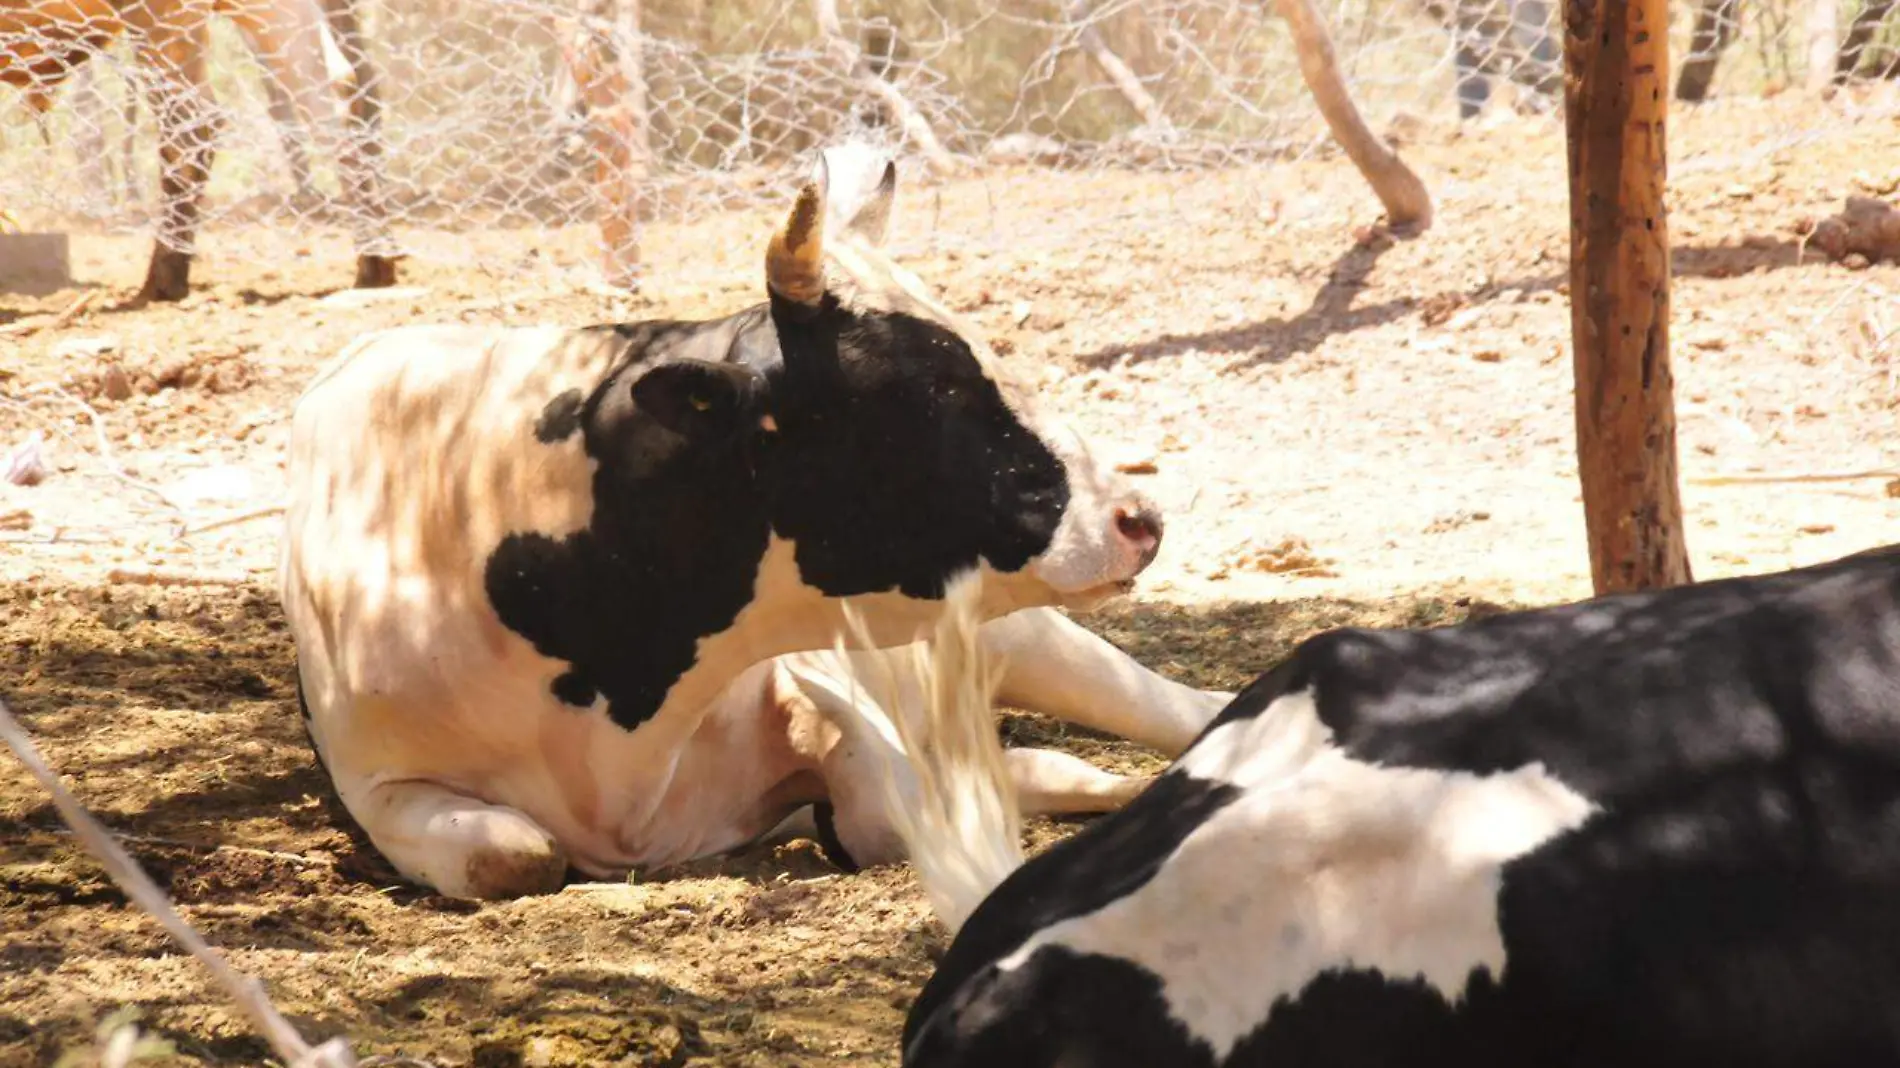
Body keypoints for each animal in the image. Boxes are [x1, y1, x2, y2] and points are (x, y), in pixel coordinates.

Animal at [281, 152, 1231, 896]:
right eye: (930, 391)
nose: (1138, 518)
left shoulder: (824, 684)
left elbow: (879, 805)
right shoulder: (382, 783)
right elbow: (511, 855)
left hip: (1026, 638)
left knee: (1181, 712)